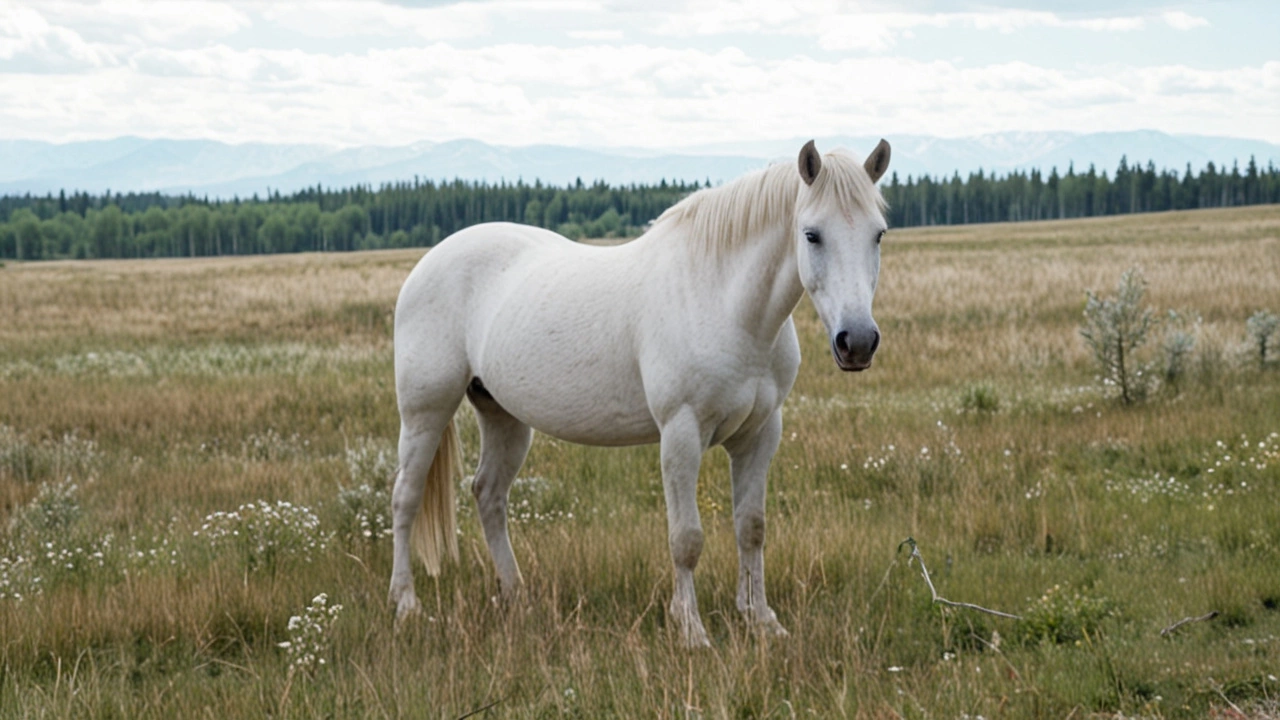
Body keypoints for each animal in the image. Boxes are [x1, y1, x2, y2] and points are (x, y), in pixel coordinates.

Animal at [386, 137, 890, 640]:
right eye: (811, 234)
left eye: (879, 234)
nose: (857, 342)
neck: (723, 301)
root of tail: (428, 262)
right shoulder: (681, 433)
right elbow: (686, 538)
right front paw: (691, 628)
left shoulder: (761, 434)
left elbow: (751, 527)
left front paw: (760, 620)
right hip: (425, 412)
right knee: (406, 498)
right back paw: (406, 602)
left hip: (503, 416)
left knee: (489, 495)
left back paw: (515, 595)